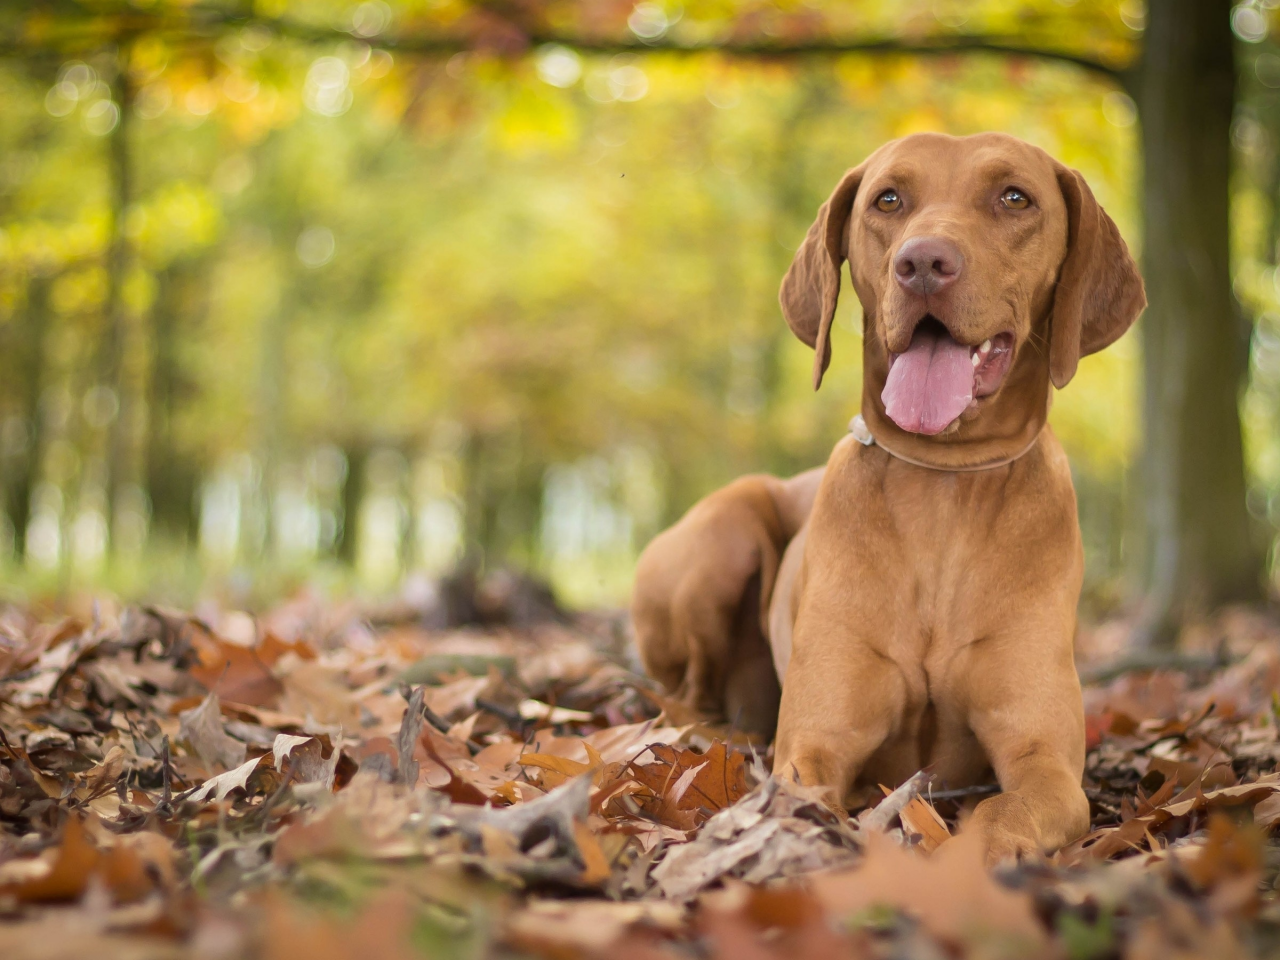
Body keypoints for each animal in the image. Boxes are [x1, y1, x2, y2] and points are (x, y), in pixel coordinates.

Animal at [634, 129, 1146, 865]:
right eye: (888, 200)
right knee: (687, 692)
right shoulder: (815, 745)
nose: (923, 262)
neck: (943, 483)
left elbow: (1005, 808)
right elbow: (804, 792)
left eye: (1015, 198)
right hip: (722, 538)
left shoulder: (1045, 762)